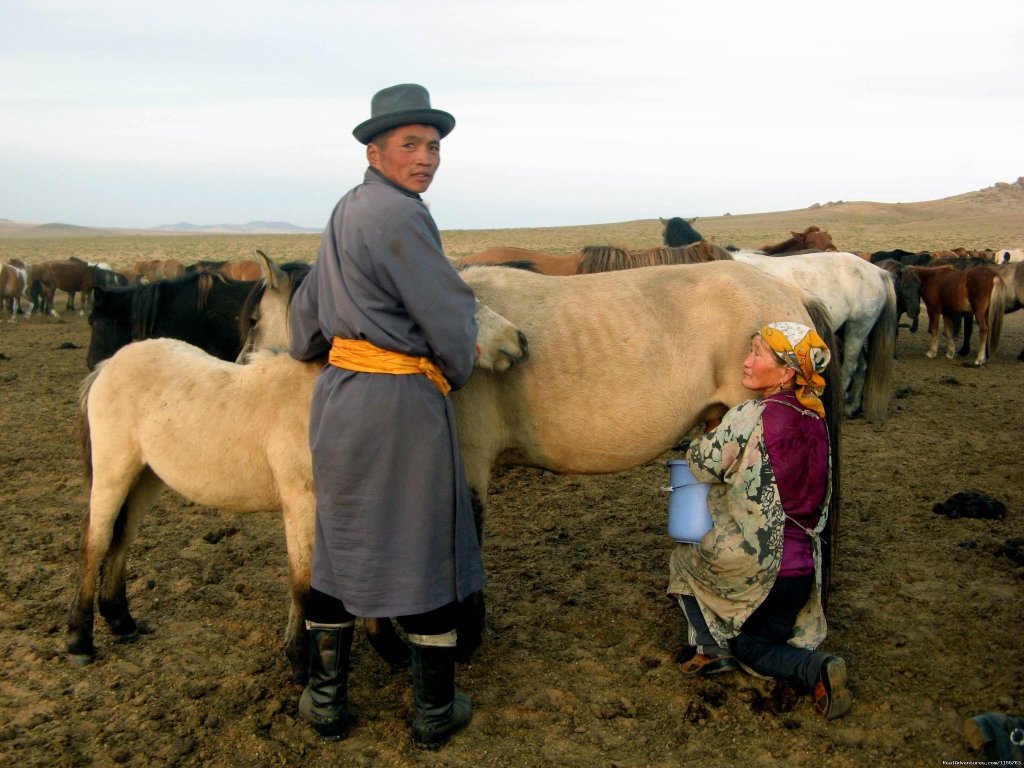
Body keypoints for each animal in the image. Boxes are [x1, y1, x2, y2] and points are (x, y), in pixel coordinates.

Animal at [733, 250, 892, 421]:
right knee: (862, 366)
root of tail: (877, 271)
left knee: (849, 369)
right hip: (849, 332)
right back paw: (852, 407)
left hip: (857, 329)